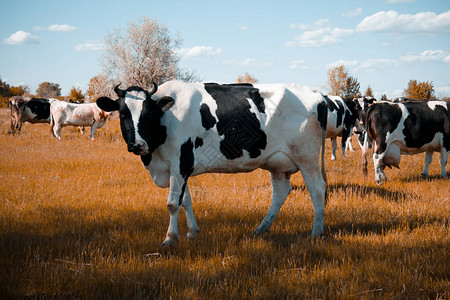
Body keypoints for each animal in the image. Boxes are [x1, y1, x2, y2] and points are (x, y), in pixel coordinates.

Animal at [96, 81, 328, 245]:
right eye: (123, 114)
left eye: (148, 113)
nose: (137, 144)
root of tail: (319, 95)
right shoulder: (178, 168)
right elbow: (186, 200)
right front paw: (192, 232)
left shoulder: (181, 162)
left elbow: (172, 203)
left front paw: (170, 238)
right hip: (277, 163)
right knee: (280, 192)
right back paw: (261, 229)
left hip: (307, 157)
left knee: (317, 190)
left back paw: (316, 233)